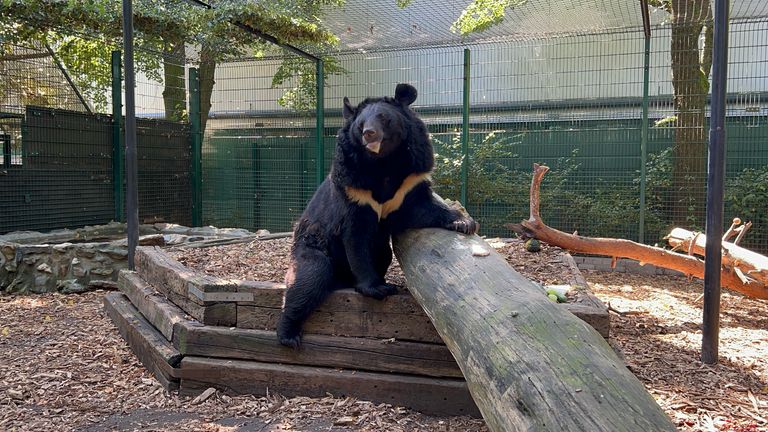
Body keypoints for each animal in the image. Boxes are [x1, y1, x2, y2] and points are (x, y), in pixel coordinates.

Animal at [277, 83, 478, 348]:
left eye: (383, 117)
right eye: (360, 124)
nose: (369, 134)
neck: (383, 163)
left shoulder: (409, 182)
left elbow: (422, 208)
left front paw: (465, 222)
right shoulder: (353, 189)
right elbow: (356, 238)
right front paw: (378, 288)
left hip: (382, 251)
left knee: (382, 254)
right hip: (312, 247)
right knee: (307, 280)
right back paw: (289, 334)